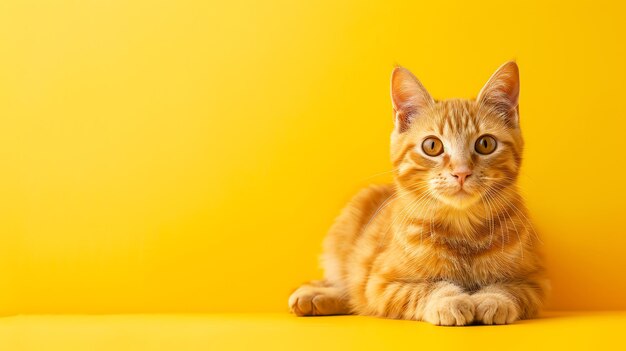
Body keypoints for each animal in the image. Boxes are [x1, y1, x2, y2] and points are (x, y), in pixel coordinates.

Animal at [288, 61, 544, 328]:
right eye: (432, 146)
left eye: (486, 144)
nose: (461, 172)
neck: (462, 229)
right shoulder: (380, 283)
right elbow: (424, 289)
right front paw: (449, 300)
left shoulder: (534, 282)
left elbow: (510, 289)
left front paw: (493, 299)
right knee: (348, 283)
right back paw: (313, 295)